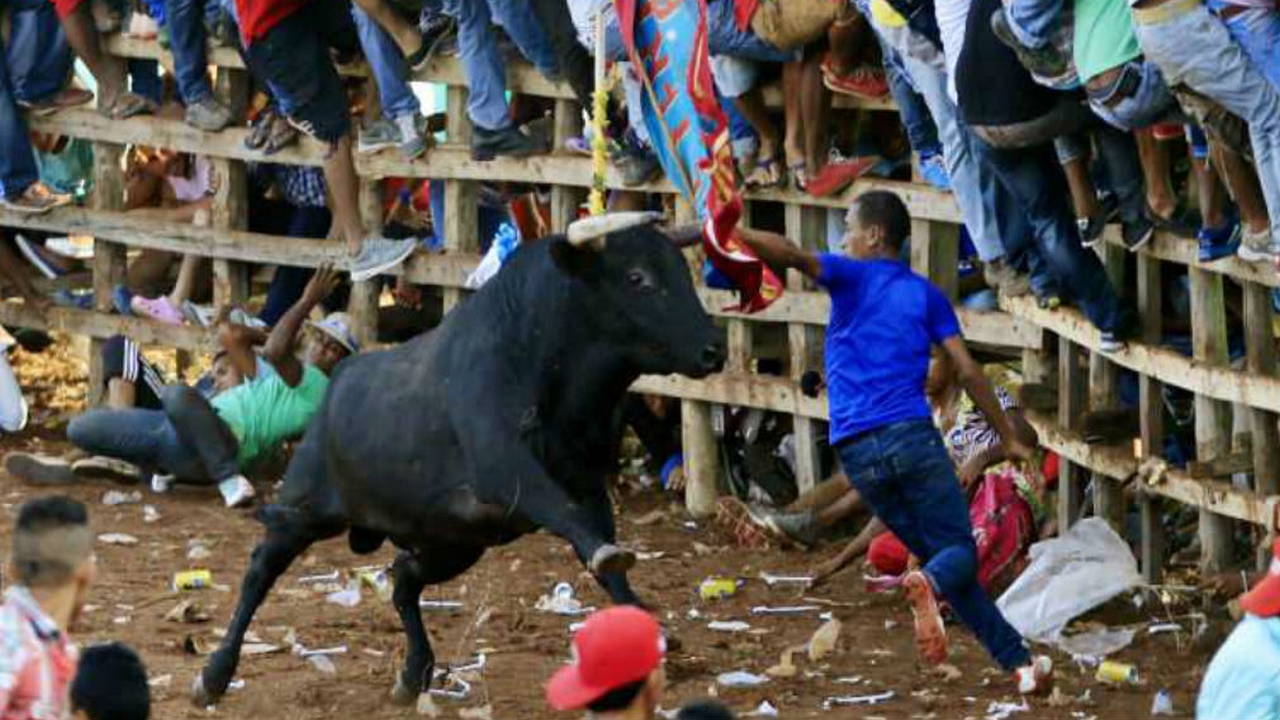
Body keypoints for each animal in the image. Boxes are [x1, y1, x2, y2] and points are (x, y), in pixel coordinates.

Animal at [193, 221, 727, 702]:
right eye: (638, 277)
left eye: (682, 270)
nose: (714, 349)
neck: (541, 351)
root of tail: (335, 387)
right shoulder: (507, 472)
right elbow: (570, 520)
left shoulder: (587, 485)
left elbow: (602, 554)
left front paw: (650, 630)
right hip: (304, 509)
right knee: (261, 569)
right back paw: (214, 675)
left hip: (454, 540)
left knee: (404, 577)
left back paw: (414, 672)